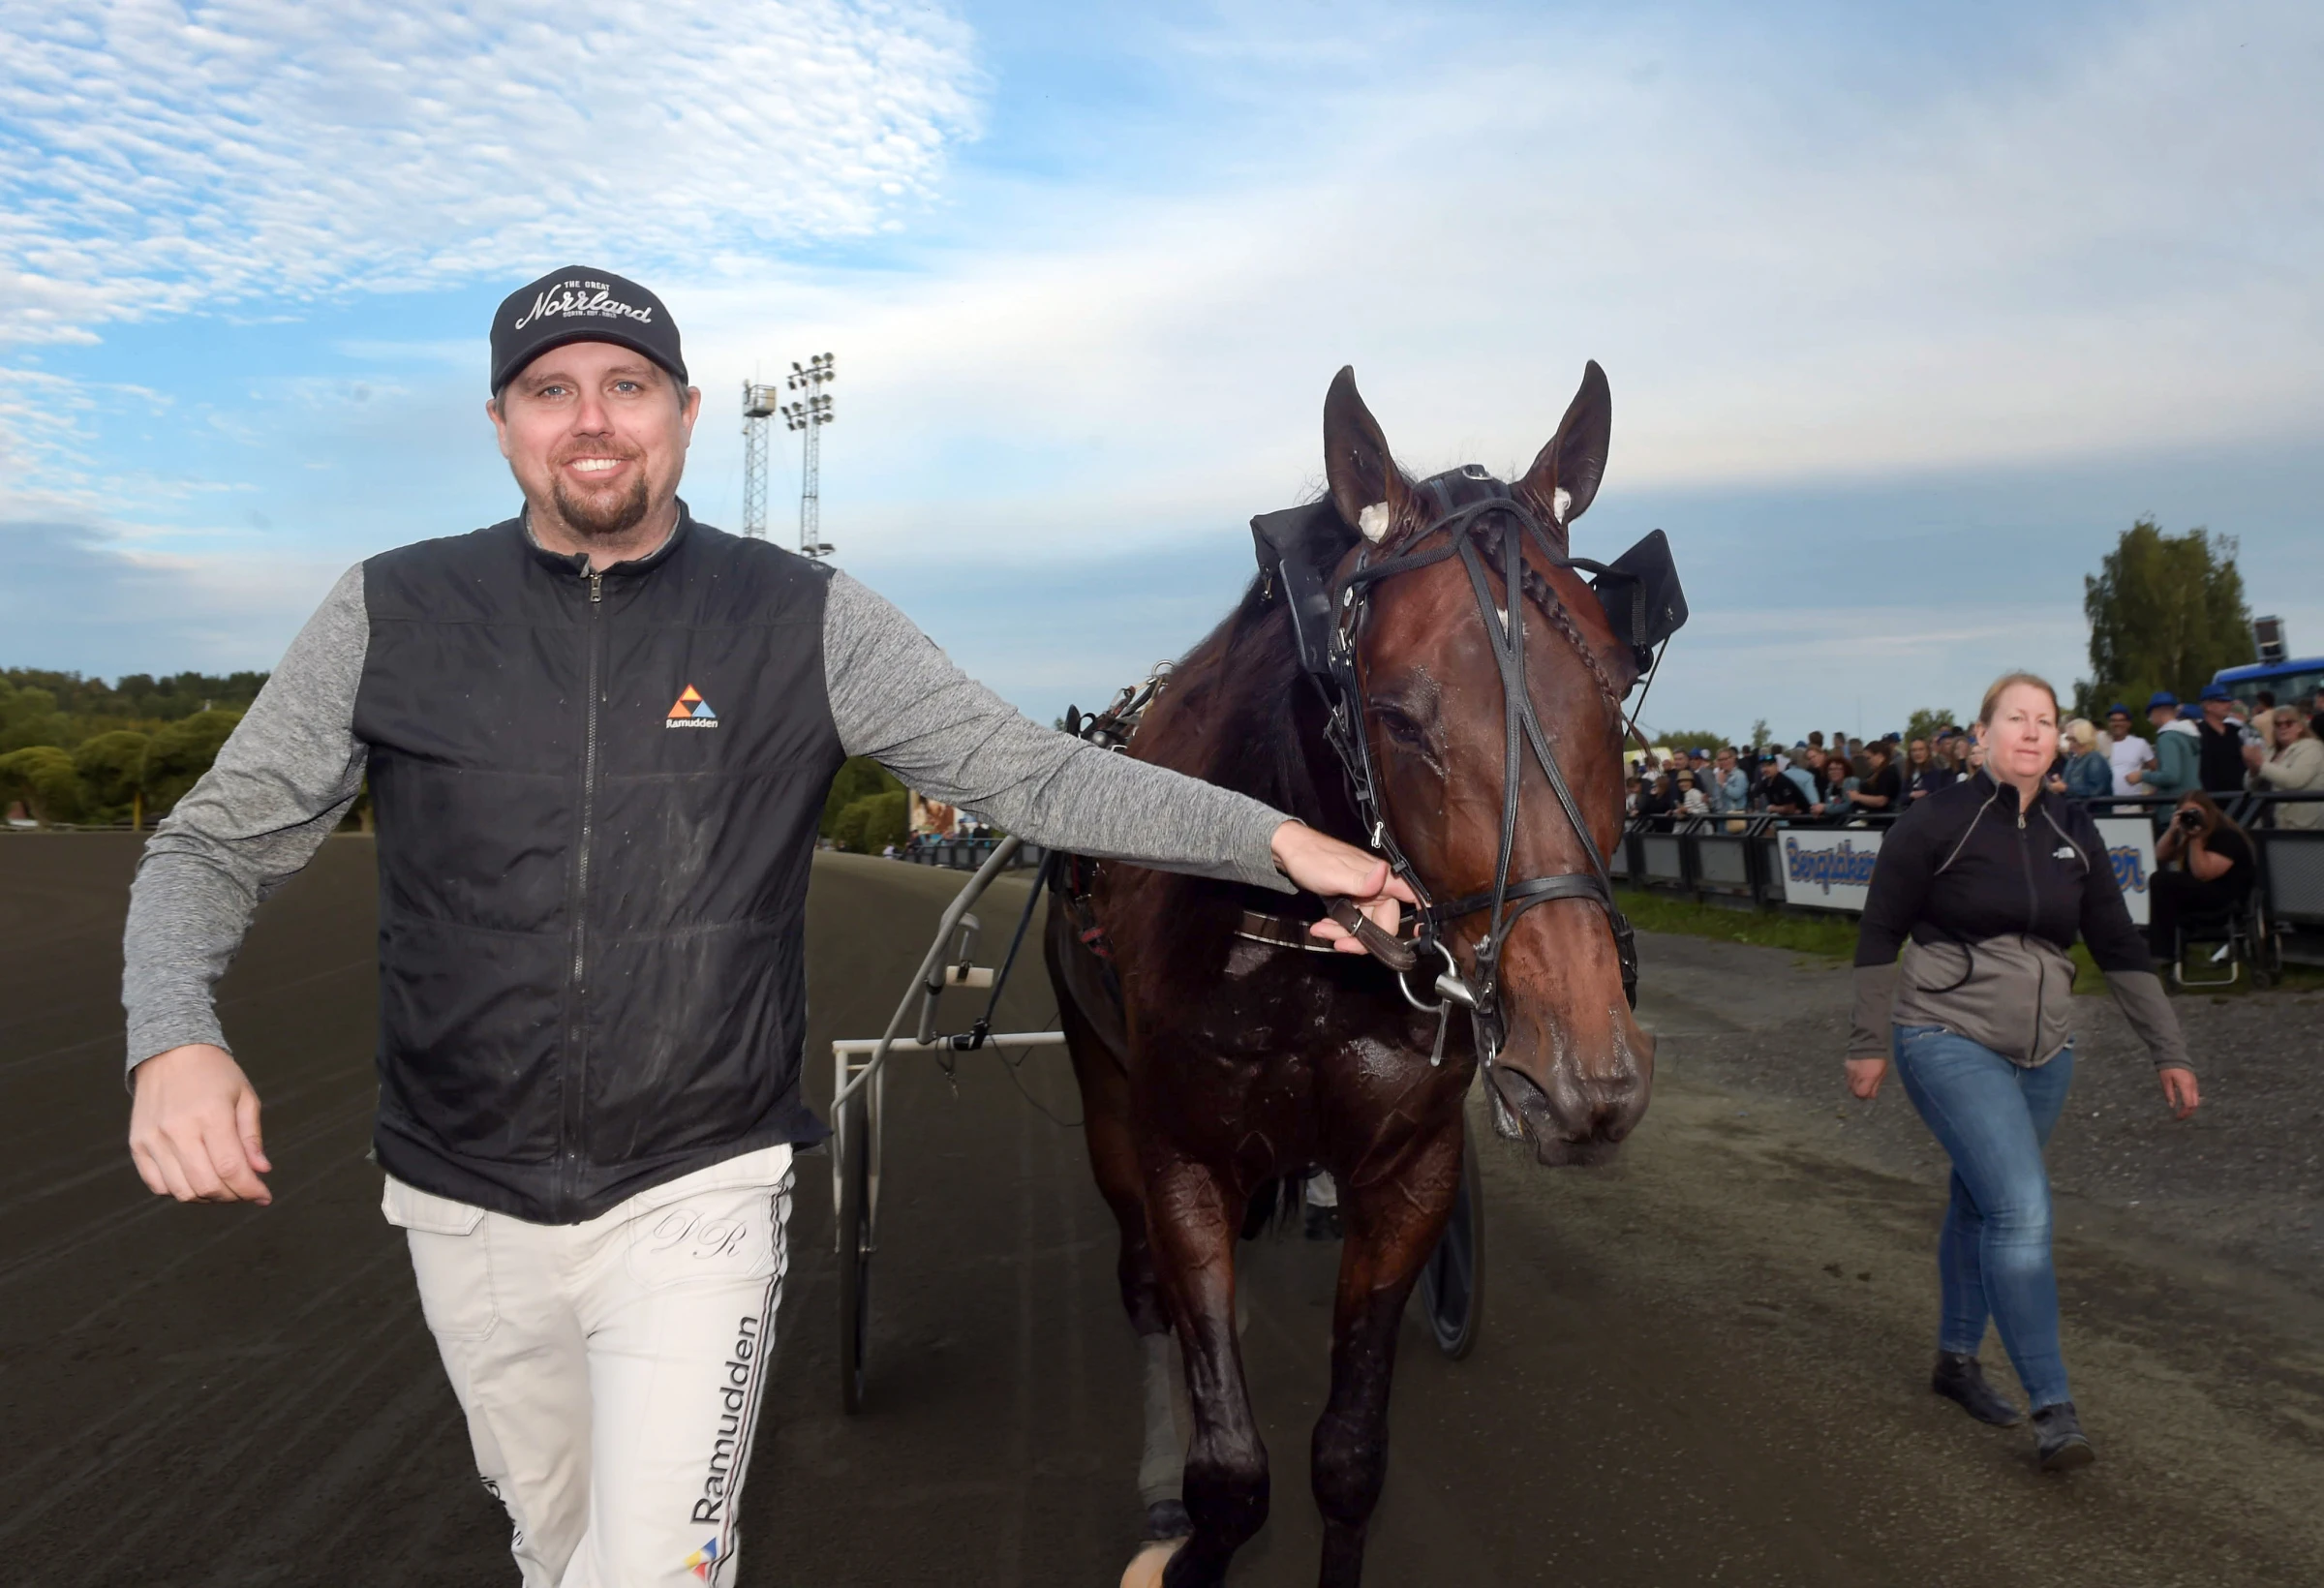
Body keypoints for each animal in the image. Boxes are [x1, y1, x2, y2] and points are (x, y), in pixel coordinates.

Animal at [1050, 362, 1673, 1588]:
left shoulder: (1409, 1167)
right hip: (1100, 1086)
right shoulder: (1181, 1151)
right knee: (1144, 1287)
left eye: (1619, 693)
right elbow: (1232, 1475)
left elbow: (1347, 1457)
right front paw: (1185, 1541)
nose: (1587, 1075)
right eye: (1397, 714)